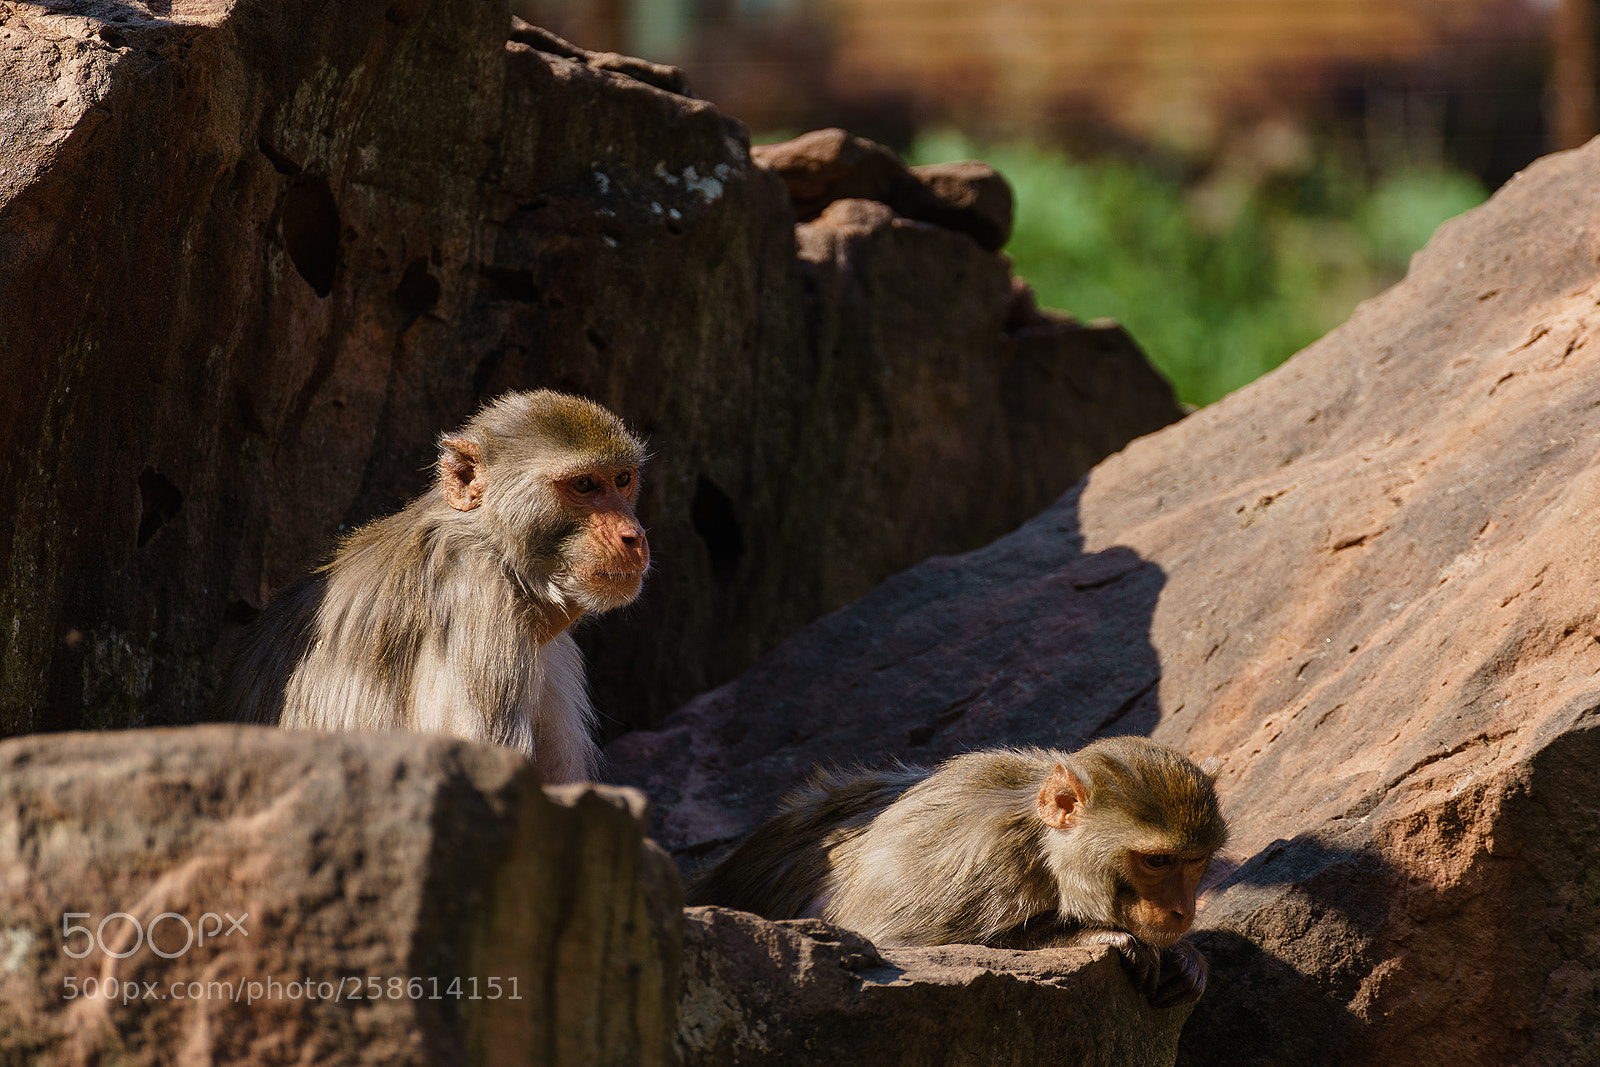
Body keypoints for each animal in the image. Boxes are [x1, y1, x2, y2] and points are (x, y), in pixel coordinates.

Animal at [689, 736, 1227, 1008]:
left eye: (1194, 861)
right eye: (1157, 861)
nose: (1182, 912)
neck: (1042, 851)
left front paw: (1185, 956)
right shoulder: (978, 861)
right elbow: (887, 942)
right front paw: (1093, 935)